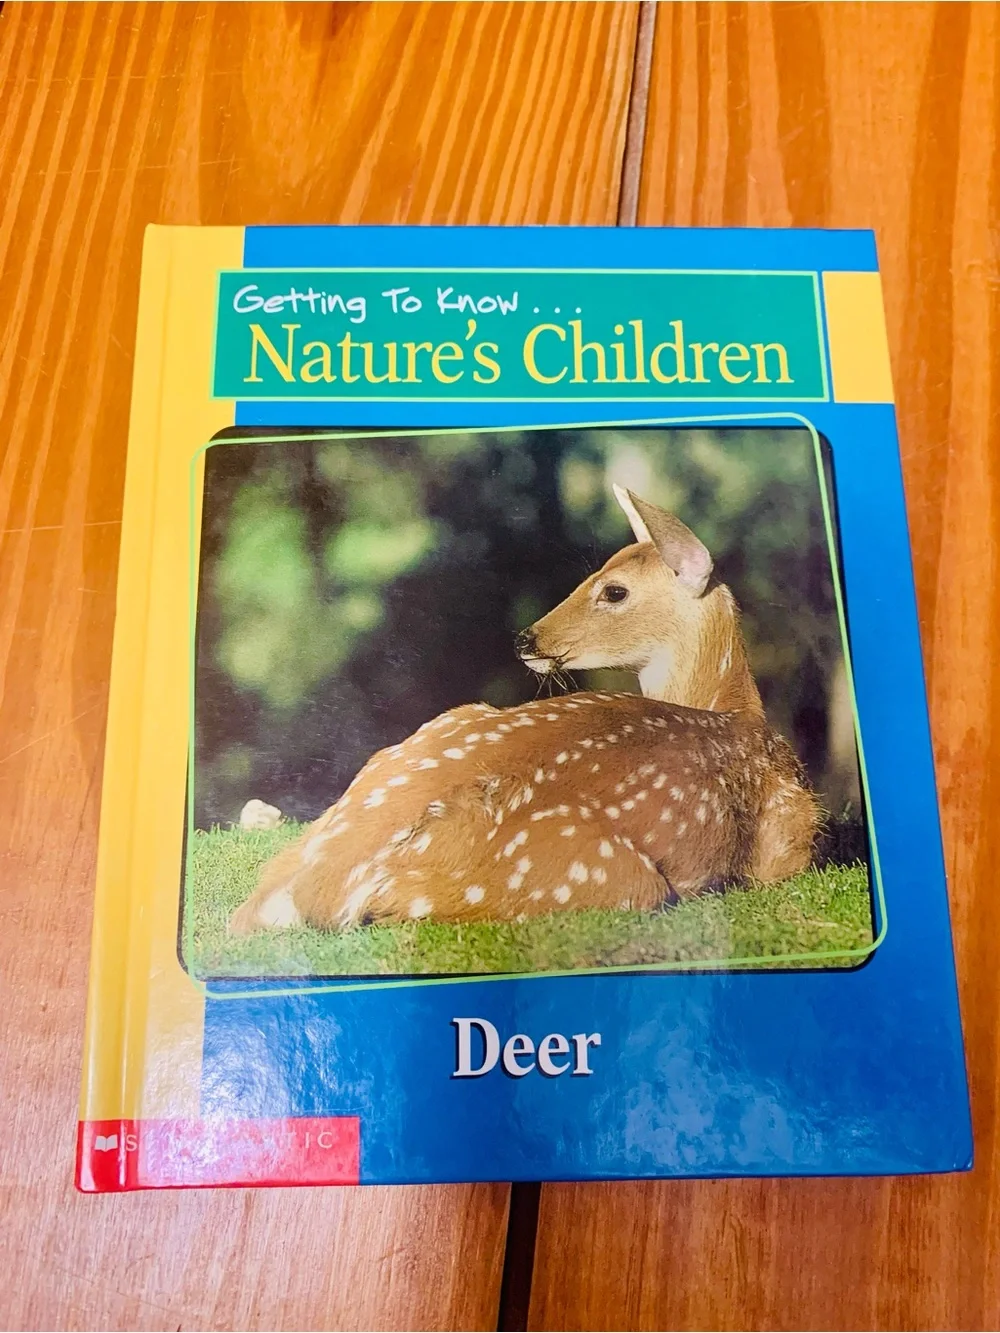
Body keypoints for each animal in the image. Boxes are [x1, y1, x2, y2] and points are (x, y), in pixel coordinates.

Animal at [228, 487, 820, 935]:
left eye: (614, 590)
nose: (525, 639)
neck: (732, 708)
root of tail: (312, 888)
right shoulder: (790, 835)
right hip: (603, 878)